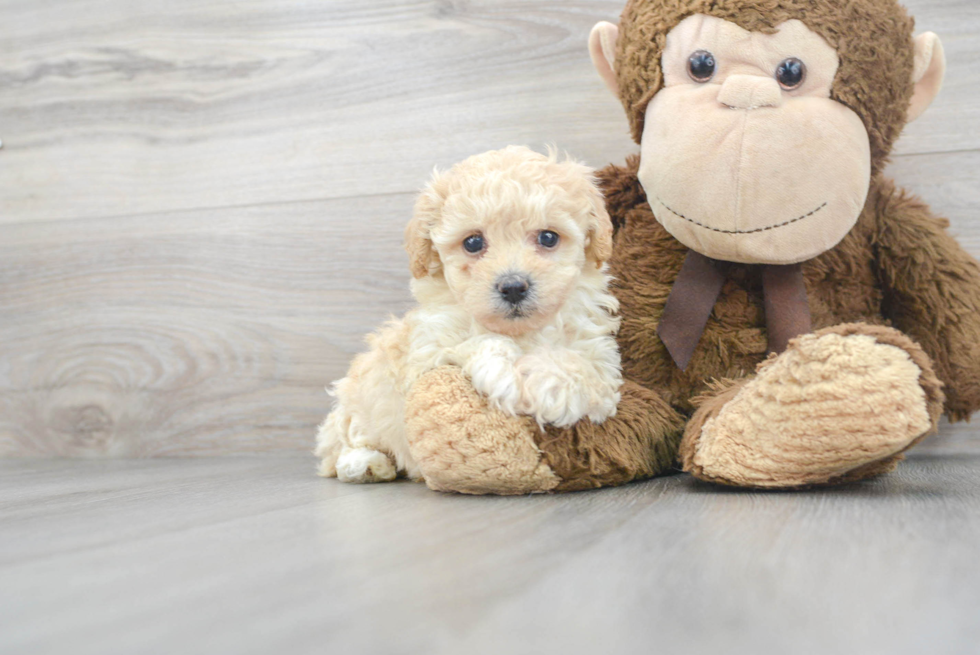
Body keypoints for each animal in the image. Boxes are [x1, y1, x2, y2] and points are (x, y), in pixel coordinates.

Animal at [316, 146, 620, 484]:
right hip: (359, 398)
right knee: (342, 440)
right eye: (473, 242)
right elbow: (479, 343)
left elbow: (582, 372)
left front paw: (546, 380)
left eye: (548, 238)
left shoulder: (599, 356)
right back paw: (366, 463)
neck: (522, 332)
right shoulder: (426, 350)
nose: (513, 287)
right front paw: (512, 371)